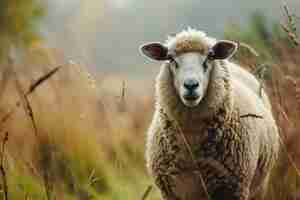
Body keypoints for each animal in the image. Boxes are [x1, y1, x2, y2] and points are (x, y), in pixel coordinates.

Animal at [139, 28, 280, 200]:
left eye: (210, 56)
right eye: (171, 58)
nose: (191, 85)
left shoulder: (232, 189)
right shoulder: (171, 192)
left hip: (259, 187)